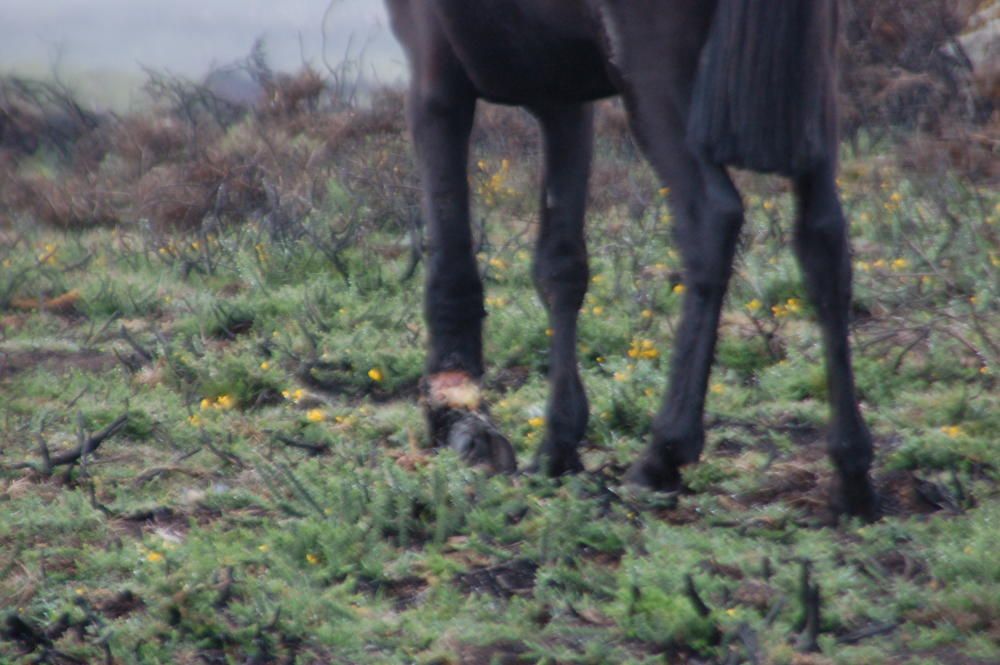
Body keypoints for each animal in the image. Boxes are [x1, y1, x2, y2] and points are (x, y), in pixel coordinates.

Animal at [382, 0, 876, 520]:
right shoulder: (562, 99)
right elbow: (560, 266)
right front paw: (557, 443)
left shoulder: (434, 73)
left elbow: (450, 254)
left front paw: (458, 414)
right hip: (811, 88)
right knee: (823, 241)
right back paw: (852, 472)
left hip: (657, 80)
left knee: (711, 218)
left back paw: (662, 454)